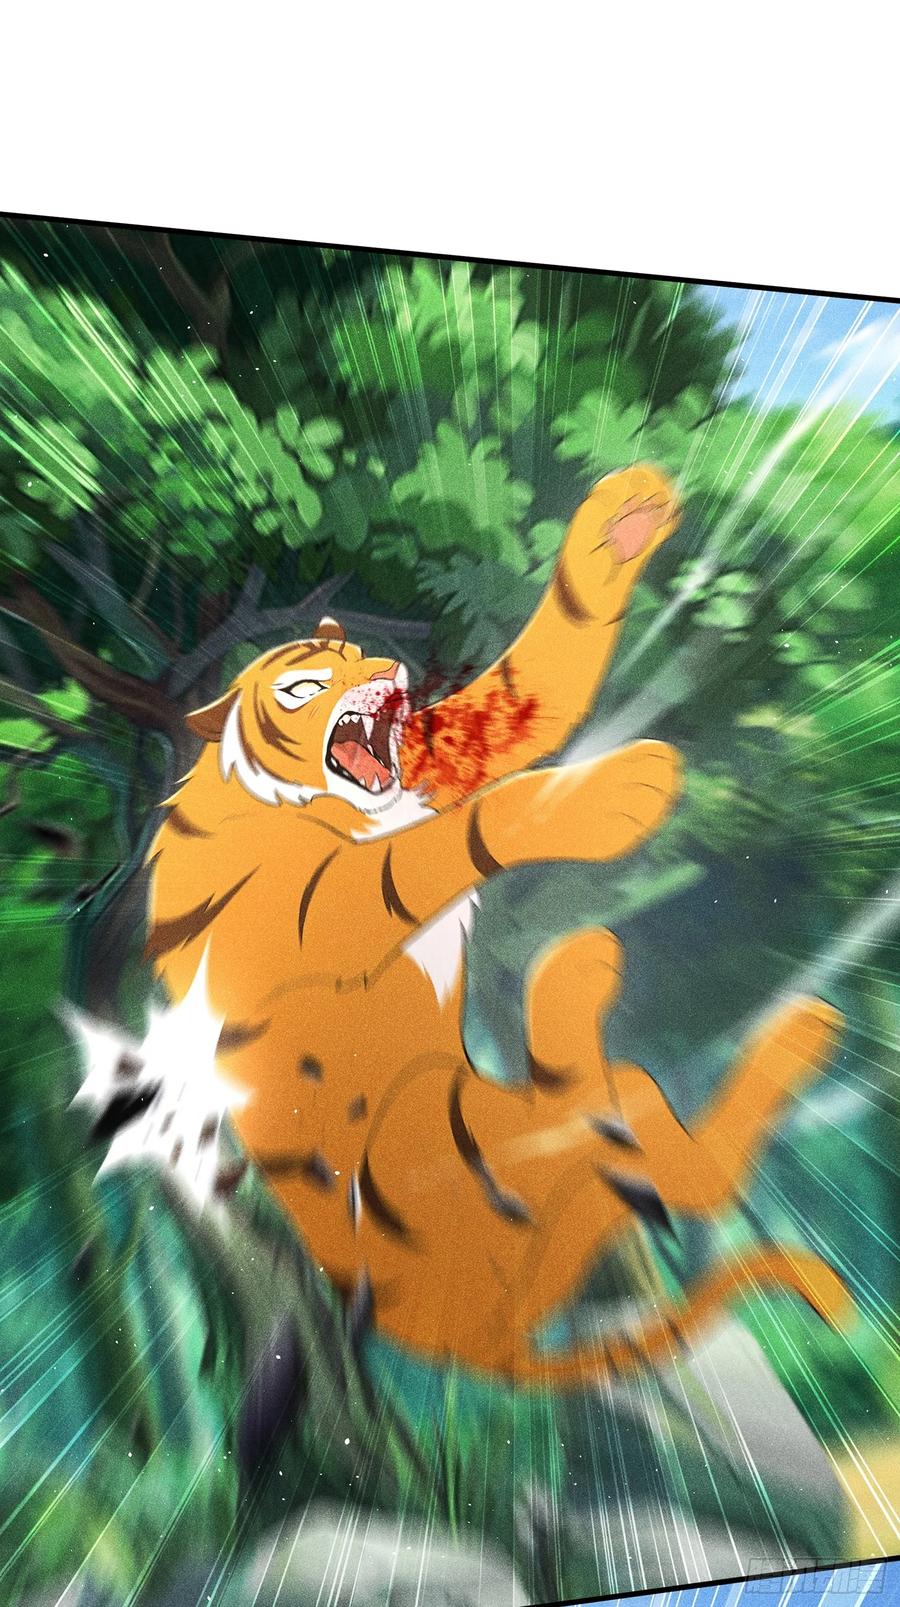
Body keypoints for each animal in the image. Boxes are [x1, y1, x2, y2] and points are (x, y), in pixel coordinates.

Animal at [145, 464, 852, 1386]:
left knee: (655, 1142)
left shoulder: (444, 746)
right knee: (667, 1164)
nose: (389, 663)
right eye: (305, 685)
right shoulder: (308, 906)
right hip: (458, 1138)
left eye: (355, 656)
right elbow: (430, 851)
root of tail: (466, 1341)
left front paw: (620, 525)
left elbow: (526, 688)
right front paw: (617, 792)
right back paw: (606, 972)